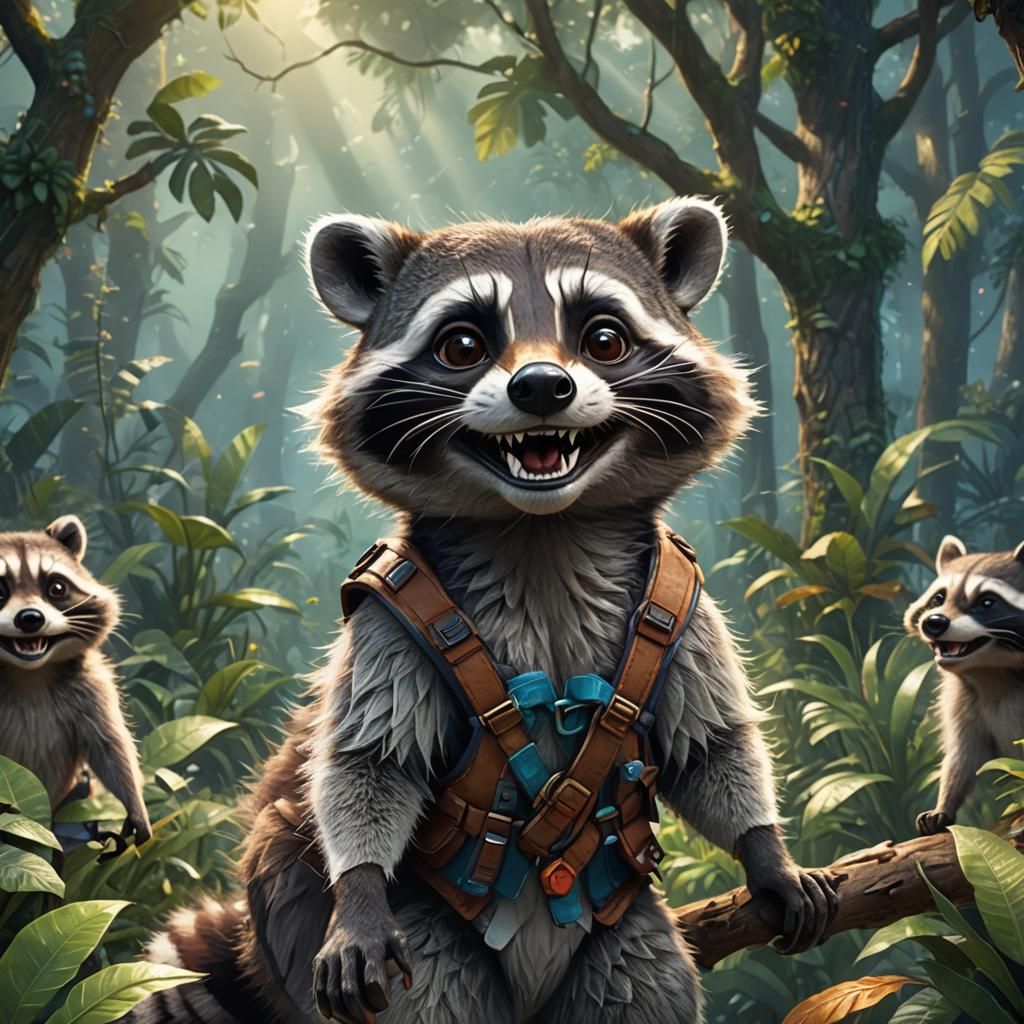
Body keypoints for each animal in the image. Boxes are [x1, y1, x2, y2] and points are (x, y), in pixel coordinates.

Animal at [0, 516, 151, 849]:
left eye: (56, 588)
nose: (30, 619)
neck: (29, 672)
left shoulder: (92, 686)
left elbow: (111, 746)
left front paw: (136, 806)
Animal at [132, 200, 835, 1024]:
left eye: (604, 338)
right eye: (462, 345)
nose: (542, 388)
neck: (543, 527)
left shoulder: (684, 604)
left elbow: (713, 745)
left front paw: (768, 851)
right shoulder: (389, 617)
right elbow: (371, 761)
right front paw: (358, 890)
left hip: (622, 937)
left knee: (643, 985)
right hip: (422, 934)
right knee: (433, 989)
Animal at [905, 535, 1024, 835]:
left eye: (987, 602)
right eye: (938, 598)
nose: (934, 623)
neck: (992, 672)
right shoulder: (962, 698)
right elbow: (964, 754)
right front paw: (944, 804)